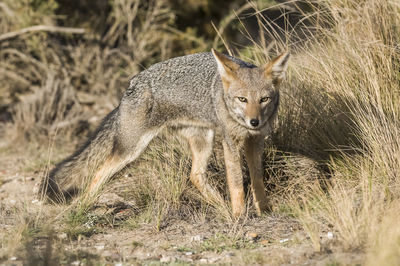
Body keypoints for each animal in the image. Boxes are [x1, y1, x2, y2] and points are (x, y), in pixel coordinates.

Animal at [40, 48, 290, 217]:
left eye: (264, 99)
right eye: (242, 99)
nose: (254, 121)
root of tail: (131, 85)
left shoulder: (255, 141)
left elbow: (257, 178)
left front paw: (264, 210)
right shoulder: (231, 142)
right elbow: (237, 183)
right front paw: (239, 216)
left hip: (203, 141)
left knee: (195, 175)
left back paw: (221, 206)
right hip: (131, 149)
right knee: (98, 172)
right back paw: (83, 206)